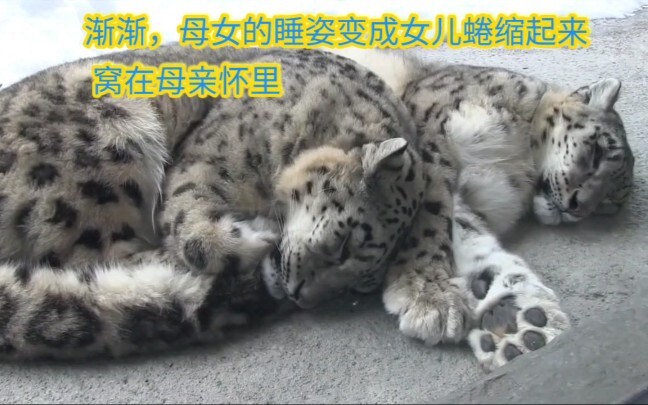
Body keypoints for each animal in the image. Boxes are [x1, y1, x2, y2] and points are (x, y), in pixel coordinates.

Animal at [329, 47, 635, 370]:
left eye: (608, 204)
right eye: (597, 151)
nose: (579, 206)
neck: (517, 159)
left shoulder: (474, 201)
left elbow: (469, 238)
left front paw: (514, 320)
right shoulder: (429, 135)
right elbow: (430, 212)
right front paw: (427, 293)